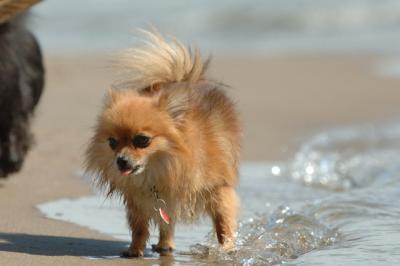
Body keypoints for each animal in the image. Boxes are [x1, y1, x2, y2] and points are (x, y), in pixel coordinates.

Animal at [85, 31, 241, 258]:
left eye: (142, 140)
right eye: (112, 142)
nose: (120, 161)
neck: (159, 171)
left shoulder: (218, 189)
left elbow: (223, 223)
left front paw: (226, 248)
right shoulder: (140, 202)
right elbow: (140, 228)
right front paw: (134, 249)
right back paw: (165, 245)